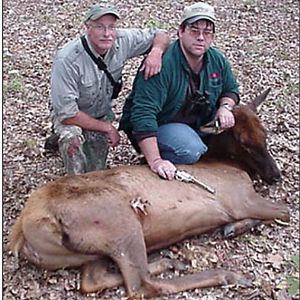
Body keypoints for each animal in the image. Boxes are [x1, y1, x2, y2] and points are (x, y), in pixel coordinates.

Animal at [10, 89, 290, 298]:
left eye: (265, 132)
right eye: (243, 141)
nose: (275, 174)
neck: (227, 163)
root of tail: (24, 228)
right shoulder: (240, 199)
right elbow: (285, 212)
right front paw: (233, 227)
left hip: (88, 250)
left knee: (92, 280)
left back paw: (170, 262)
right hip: (120, 224)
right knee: (142, 285)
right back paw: (227, 274)